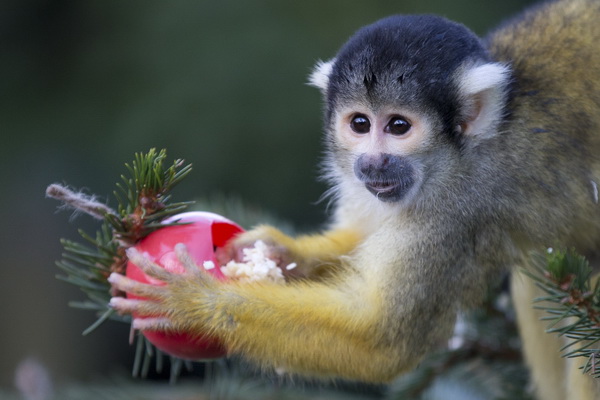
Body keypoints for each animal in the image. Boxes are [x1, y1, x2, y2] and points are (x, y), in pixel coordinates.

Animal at [110, 0, 600, 396]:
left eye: (398, 126)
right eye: (360, 124)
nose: (373, 162)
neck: (460, 154)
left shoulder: (461, 210)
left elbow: (382, 342)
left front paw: (193, 303)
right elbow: (362, 234)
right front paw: (278, 251)